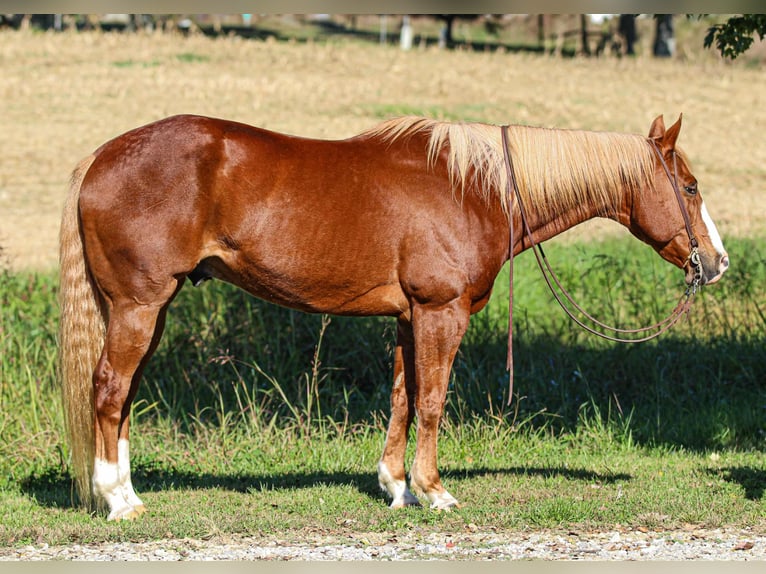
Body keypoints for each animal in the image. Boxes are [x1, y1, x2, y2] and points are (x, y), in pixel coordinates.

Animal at [59, 113, 728, 520]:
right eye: (691, 186)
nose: (717, 262)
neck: (472, 188)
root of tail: (100, 158)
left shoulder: (410, 317)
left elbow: (403, 397)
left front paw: (395, 486)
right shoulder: (441, 313)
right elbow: (432, 400)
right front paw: (434, 492)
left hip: (150, 311)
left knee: (124, 395)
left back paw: (126, 490)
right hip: (139, 307)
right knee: (110, 390)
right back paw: (118, 500)